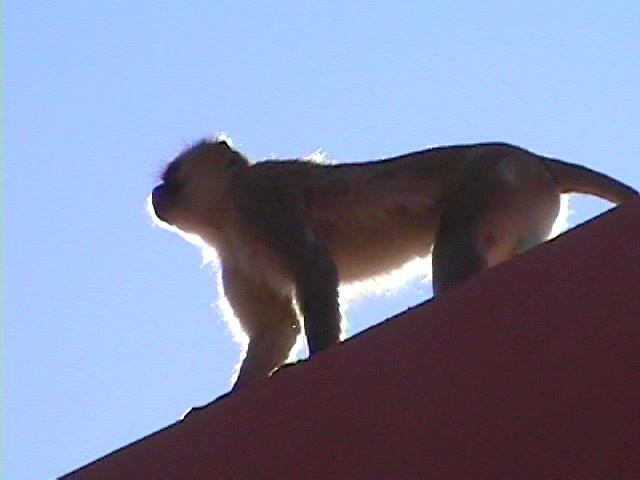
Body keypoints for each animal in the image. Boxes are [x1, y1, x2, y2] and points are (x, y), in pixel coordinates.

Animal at [150, 138, 637, 390]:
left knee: (455, 251)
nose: (156, 194)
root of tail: (533, 159)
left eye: (172, 178)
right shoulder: (235, 258)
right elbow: (276, 329)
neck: (228, 213)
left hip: (498, 184)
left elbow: (315, 270)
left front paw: (320, 358)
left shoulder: (263, 205)